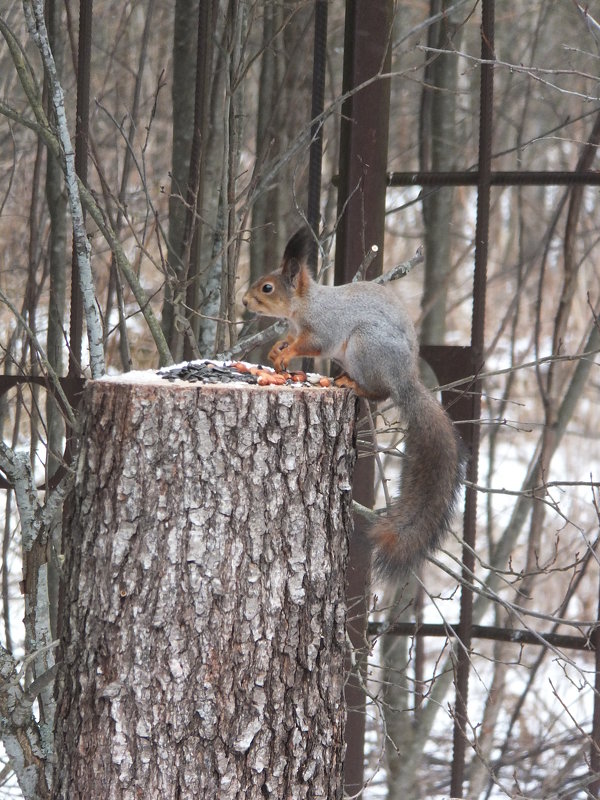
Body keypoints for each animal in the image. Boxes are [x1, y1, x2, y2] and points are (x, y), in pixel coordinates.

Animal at [241, 228, 466, 580]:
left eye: (267, 287)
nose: (244, 301)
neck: (305, 305)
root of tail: (404, 379)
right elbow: (289, 340)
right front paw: (277, 349)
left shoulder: (324, 329)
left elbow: (313, 344)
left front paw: (286, 354)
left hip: (366, 347)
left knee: (379, 393)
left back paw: (351, 383)